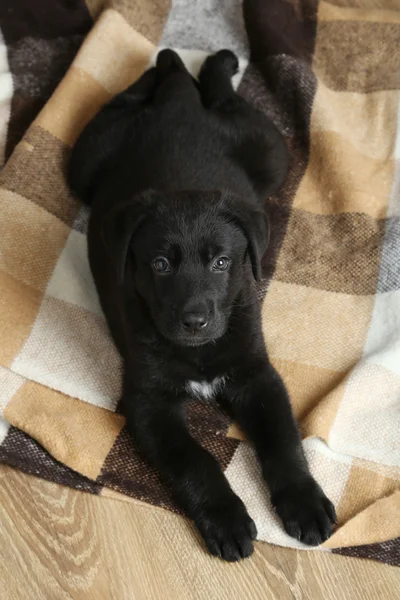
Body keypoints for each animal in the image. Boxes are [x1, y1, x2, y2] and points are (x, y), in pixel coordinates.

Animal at [67, 49, 336, 560]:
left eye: (222, 262)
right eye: (159, 264)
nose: (194, 320)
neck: (199, 352)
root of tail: (179, 107)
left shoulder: (257, 375)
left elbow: (284, 441)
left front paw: (305, 502)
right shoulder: (149, 402)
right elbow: (196, 460)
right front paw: (226, 518)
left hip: (270, 152)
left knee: (217, 97)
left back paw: (213, 64)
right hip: (86, 163)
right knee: (136, 94)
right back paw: (176, 65)